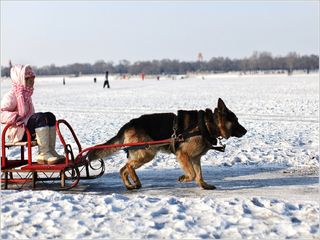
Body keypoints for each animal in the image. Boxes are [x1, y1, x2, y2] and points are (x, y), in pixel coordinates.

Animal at [87, 98, 248, 190]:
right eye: (236, 121)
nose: (246, 131)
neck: (209, 124)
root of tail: (128, 124)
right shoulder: (183, 154)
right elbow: (192, 173)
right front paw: (184, 178)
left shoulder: (195, 158)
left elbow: (199, 174)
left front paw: (203, 185)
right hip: (147, 153)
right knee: (127, 167)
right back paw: (135, 181)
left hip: (141, 154)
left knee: (122, 169)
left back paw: (130, 185)